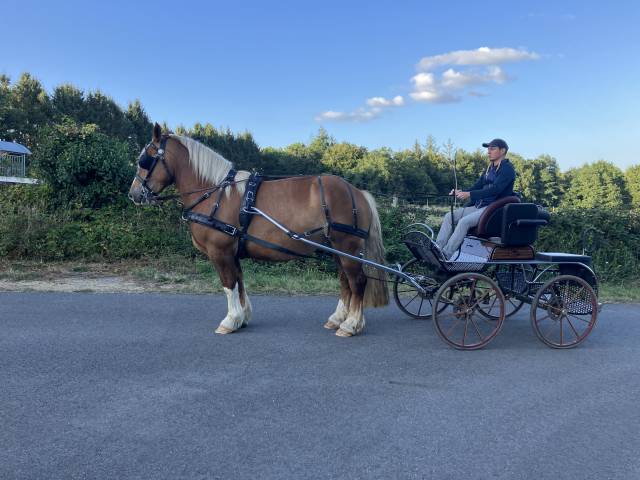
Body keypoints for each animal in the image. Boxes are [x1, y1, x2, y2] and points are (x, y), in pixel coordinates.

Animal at [128, 123, 388, 337]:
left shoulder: (220, 251)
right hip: (336, 249)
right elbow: (239, 282)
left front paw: (230, 320)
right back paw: (337, 319)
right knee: (345, 282)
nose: (133, 194)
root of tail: (357, 192)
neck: (215, 193)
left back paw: (351, 325)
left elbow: (228, 284)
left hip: (347, 247)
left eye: (145, 160)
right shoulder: (232, 252)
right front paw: (242, 318)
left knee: (358, 282)